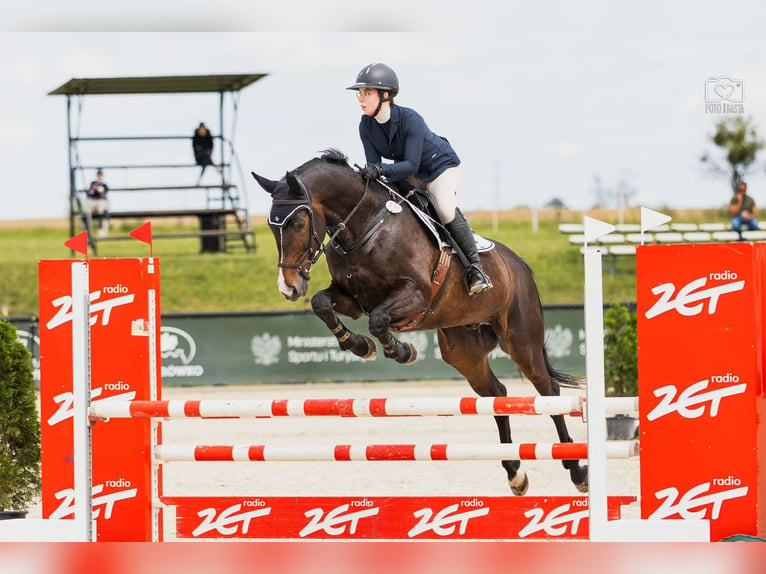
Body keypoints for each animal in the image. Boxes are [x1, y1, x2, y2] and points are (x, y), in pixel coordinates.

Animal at [252, 148, 588, 496]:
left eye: (299, 222)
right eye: (272, 227)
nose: (289, 288)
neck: (364, 226)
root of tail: (520, 266)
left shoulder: (414, 294)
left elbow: (379, 320)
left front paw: (400, 351)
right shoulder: (352, 300)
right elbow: (322, 304)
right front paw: (360, 346)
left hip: (521, 341)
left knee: (548, 392)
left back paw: (576, 469)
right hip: (464, 353)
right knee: (496, 394)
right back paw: (514, 473)